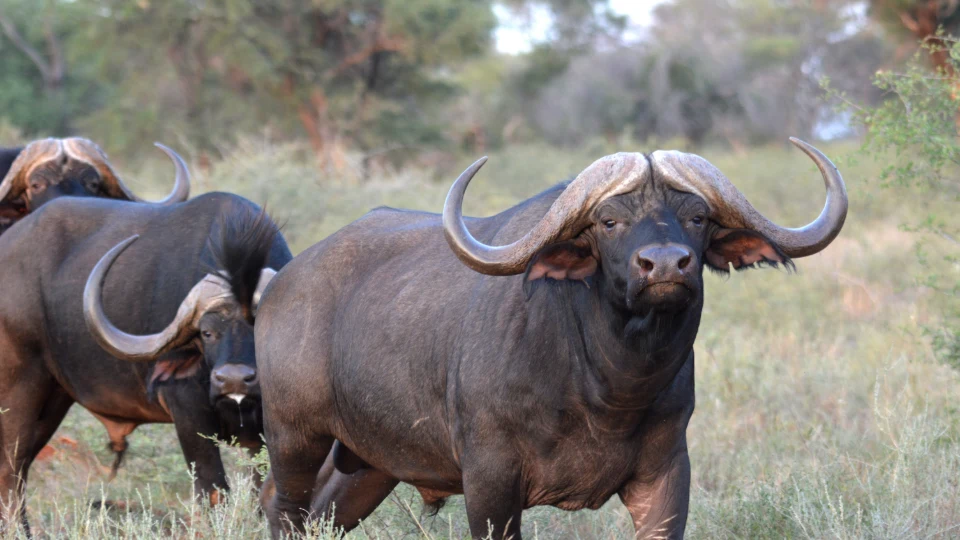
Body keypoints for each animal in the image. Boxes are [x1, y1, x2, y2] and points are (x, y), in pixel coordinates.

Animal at [0, 189, 291, 532]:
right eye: (207, 332)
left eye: (260, 325)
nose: (233, 379)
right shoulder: (189, 416)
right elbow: (213, 491)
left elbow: (263, 492)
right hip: (19, 390)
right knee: (11, 470)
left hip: (54, 400)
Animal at [256, 138, 847, 538]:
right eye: (608, 221)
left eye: (697, 216)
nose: (664, 265)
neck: (606, 388)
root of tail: (282, 284)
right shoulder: (490, 484)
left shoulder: (665, 477)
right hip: (293, 437)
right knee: (282, 508)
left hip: (365, 462)